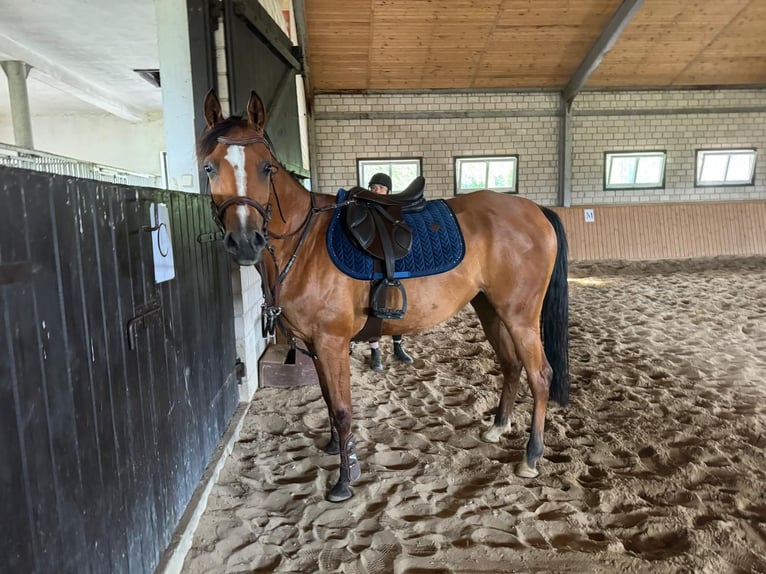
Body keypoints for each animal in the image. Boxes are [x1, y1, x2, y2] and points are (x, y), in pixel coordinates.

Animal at [198, 91, 568, 504]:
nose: (246, 241)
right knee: (511, 365)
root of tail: (535, 210)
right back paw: (497, 427)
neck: (305, 243)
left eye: (266, 169)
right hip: (490, 309)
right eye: (210, 167)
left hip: (520, 316)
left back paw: (531, 456)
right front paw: (334, 448)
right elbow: (328, 401)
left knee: (541, 375)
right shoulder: (315, 345)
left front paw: (345, 479)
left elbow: (343, 409)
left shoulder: (331, 342)